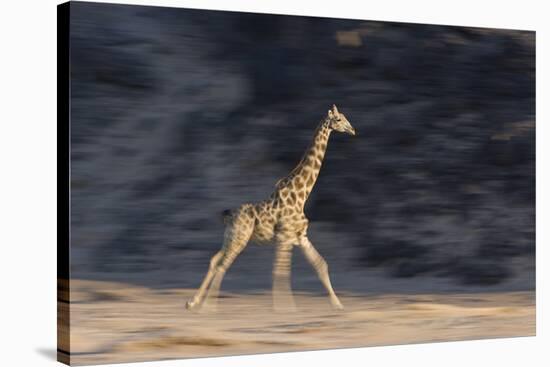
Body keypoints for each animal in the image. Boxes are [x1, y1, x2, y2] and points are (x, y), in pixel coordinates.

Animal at [185, 105, 358, 312]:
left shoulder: (301, 236)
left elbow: (321, 264)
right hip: (240, 239)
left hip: (231, 238)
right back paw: (208, 306)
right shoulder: (285, 237)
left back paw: (193, 302)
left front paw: (338, 305)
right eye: (339, 119)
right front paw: (285, 308)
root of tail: (228, 215)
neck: (301, 195)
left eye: (346, 117)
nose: (353, 130)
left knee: (213, 261)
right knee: (222, 266)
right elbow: (281, 271)